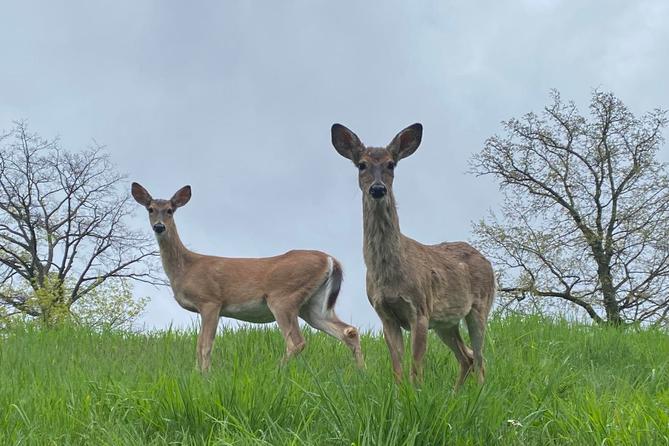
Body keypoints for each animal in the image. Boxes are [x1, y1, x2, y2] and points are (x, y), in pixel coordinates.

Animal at [131, 182, 364, 371]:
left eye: (170, 210)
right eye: (150, 209)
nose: (159, 226)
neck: (186, 267)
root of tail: (330, 259)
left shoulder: (210, 301)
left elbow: (205, 345)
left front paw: (204, 376)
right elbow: (199, 345)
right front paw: (198, 374)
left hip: (284, 296)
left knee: (296, 342)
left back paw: (275, 372)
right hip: (312, 305)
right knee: (348, 331)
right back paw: (361, 373)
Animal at [330, 123, 496, 387]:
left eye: (391, 164)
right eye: (362, 164)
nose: (378, 188)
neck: (389, 274)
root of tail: (486, 260)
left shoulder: (420, 309)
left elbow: (416, 368)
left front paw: (416, 393)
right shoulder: (385, 314)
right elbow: (397, 367)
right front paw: (400, 392)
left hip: (480, 306)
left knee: (480, 358)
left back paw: (479, 391)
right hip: (446, 321)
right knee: (467, 356)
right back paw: (456, 392)